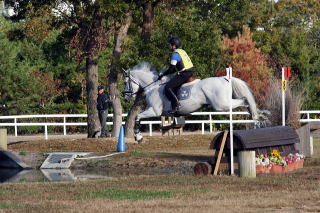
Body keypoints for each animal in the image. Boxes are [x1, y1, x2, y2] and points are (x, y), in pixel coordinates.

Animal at [124, 61, 266, 141]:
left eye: (126, 82)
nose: (126, 97)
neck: (153, 86)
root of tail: (225, 78)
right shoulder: (162, 113)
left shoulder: (154, 111)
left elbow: (137, 117)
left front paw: (138, 137)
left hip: (221, 105)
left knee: (244, 100)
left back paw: (254, 115)